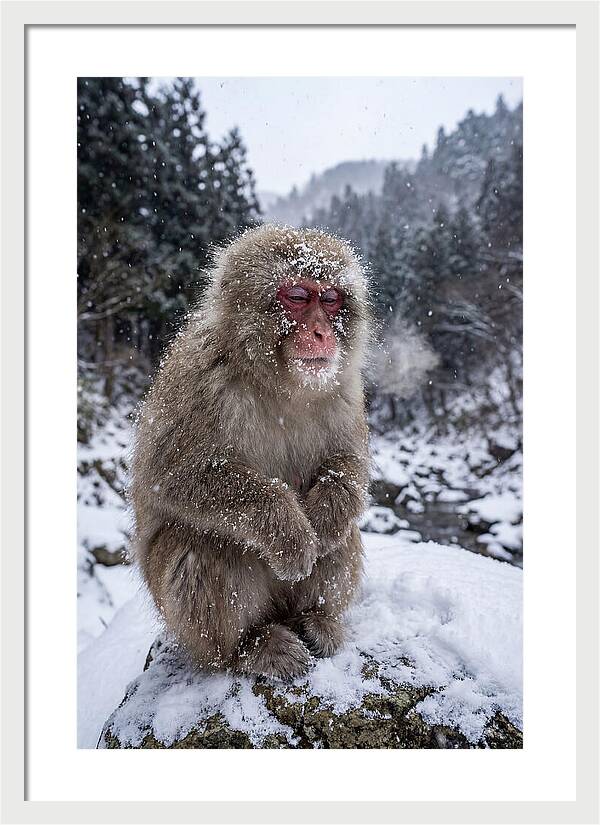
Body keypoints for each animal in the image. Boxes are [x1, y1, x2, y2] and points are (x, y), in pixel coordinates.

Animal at [130, 224, 371, 680]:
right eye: (297, 296)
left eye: (331, 299)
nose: (322, 332)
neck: (279, 384)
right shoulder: (198, 376)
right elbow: (172, 475)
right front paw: (290, 532)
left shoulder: (346, 389)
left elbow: (349, 463)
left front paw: (324, 519)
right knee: (202, 544)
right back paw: (248, 648)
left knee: (345, 534)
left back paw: (316, 619)